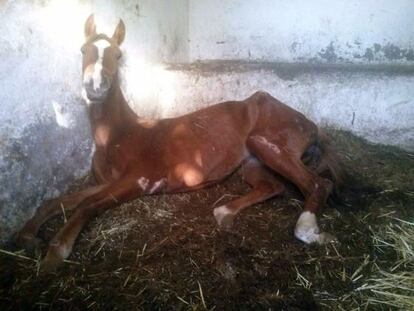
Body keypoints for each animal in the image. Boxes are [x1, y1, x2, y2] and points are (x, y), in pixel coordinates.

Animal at [17, 15, 342, 272]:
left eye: (118, 55)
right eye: (83, 50)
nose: (96, 88)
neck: (117, 137)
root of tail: (308, 123)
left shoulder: (135, 182)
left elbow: (86, 206)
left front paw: (55, 252)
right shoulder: (106, 182)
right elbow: (56, 201)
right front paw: (27, 236)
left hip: (267, 146)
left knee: (318, 184)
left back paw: (309, 230)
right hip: (251, 162)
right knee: (271, 187)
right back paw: (224, 213)